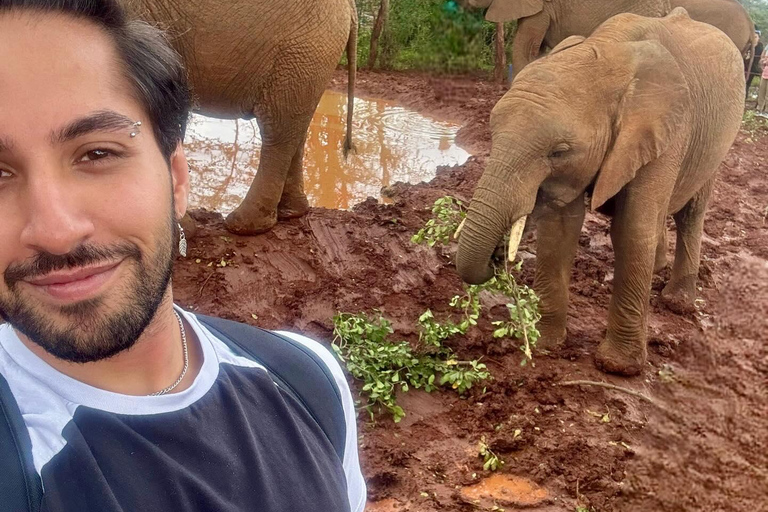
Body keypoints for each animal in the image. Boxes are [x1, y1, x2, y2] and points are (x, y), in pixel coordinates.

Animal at [124, 0, 358, 235]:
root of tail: (350, 7)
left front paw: (184, 231)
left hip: (302, 50)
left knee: (277, 131)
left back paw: (243, 226)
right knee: (295, 129)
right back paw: (291, 212)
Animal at [456, 7, 744, 376]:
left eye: (559, 151)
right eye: (492, 132)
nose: (497, 257)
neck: (607, 53)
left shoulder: (666, 131)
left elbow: (632, 228)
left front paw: (618, 367)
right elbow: (559, 226)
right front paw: (545, 344)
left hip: (717, 143)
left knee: (690, 212)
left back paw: (677, 301)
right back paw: (656, 269)